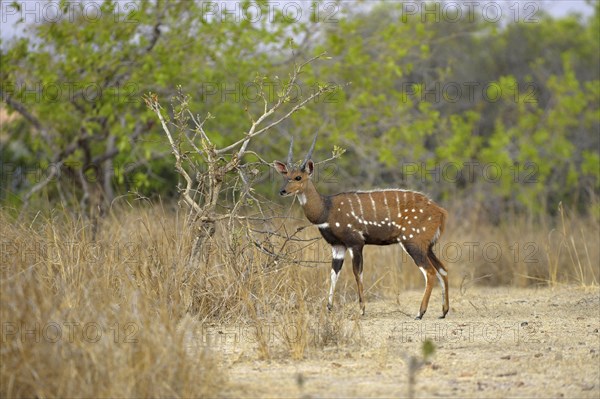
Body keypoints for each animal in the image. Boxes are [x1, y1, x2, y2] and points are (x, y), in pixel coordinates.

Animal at [274, 136, 448, 320]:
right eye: (285, 175)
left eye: (298, 177)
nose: (282, 191)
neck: (326, 210)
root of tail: (441, 212)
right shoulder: (338, 246)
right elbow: (334, 273)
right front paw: (328, 308)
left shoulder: (355, 242)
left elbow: (357, 273)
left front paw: (362, 309)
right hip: (428, 245)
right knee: (443, 270)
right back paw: (443, 312)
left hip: (413, 241)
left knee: (430, 272)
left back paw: (420, 313)